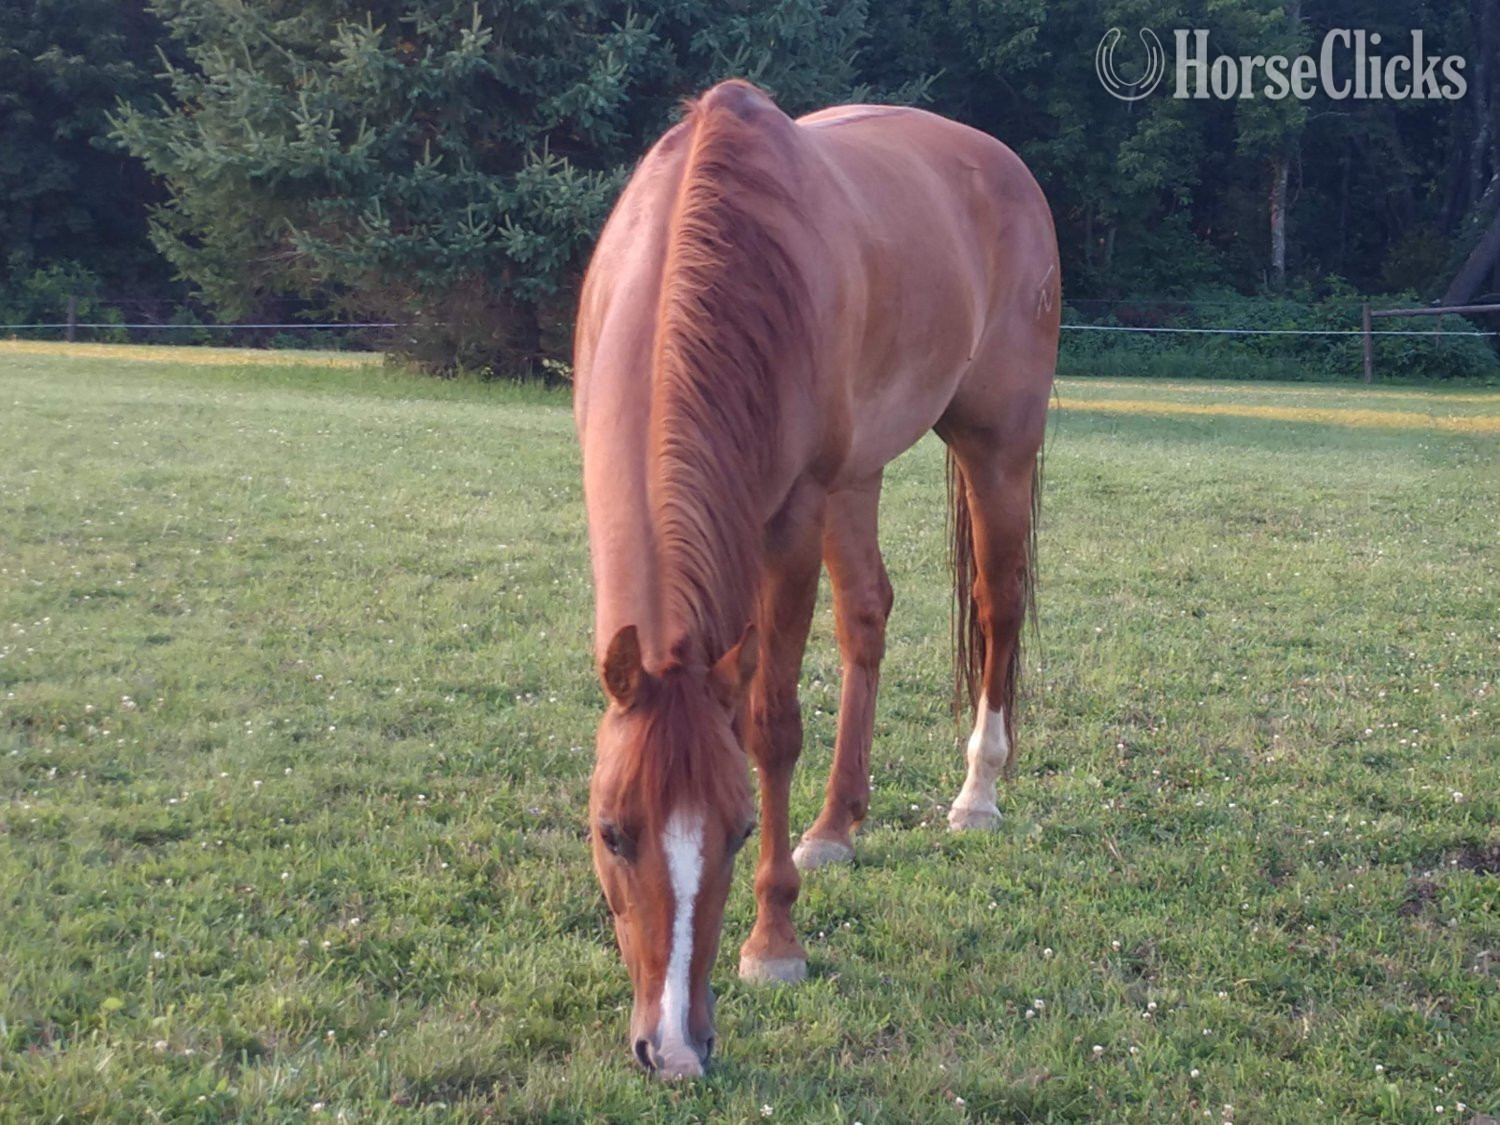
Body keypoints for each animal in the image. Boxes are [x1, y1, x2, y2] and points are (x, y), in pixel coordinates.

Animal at [572, 79, 1059, 1078]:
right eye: (611, 830)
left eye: (737, 829)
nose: (673, 1048)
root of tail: (1004, 165)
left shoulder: (791, 518)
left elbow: (771, 726)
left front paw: (774, 943)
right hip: (858, 474)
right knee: (867, 615)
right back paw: (837, 824)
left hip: (997, 447)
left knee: (999, 607)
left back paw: (978, 794)